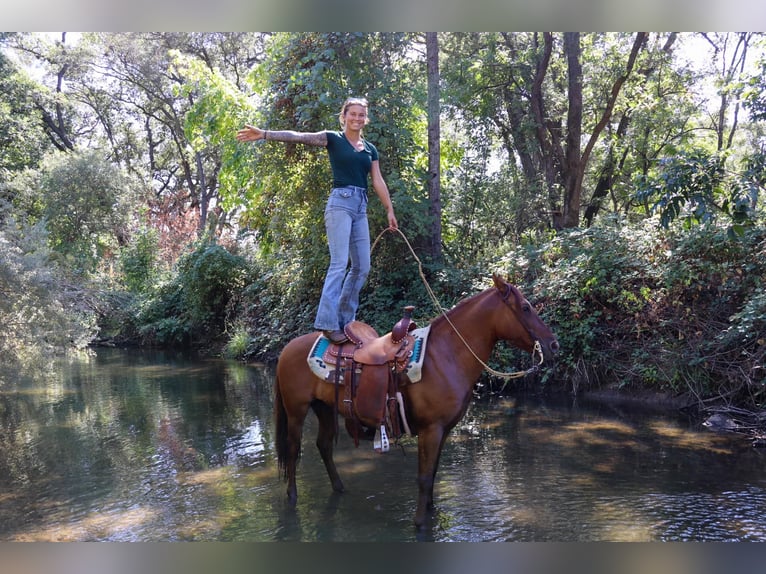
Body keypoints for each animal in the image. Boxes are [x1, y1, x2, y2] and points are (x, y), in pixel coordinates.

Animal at [273, 273, 559, 528]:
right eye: (525, 307)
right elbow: (423, 476)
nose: (553, 344)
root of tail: (287, 347)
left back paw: (339, 487)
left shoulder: (444, 430)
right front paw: (420, 522)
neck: (446, 355)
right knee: (293, 449)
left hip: (324, 408)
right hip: (296, 410)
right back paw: (292, 495)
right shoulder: (431, 430)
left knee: (323, 446)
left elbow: (432, 474)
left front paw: (431, 511)